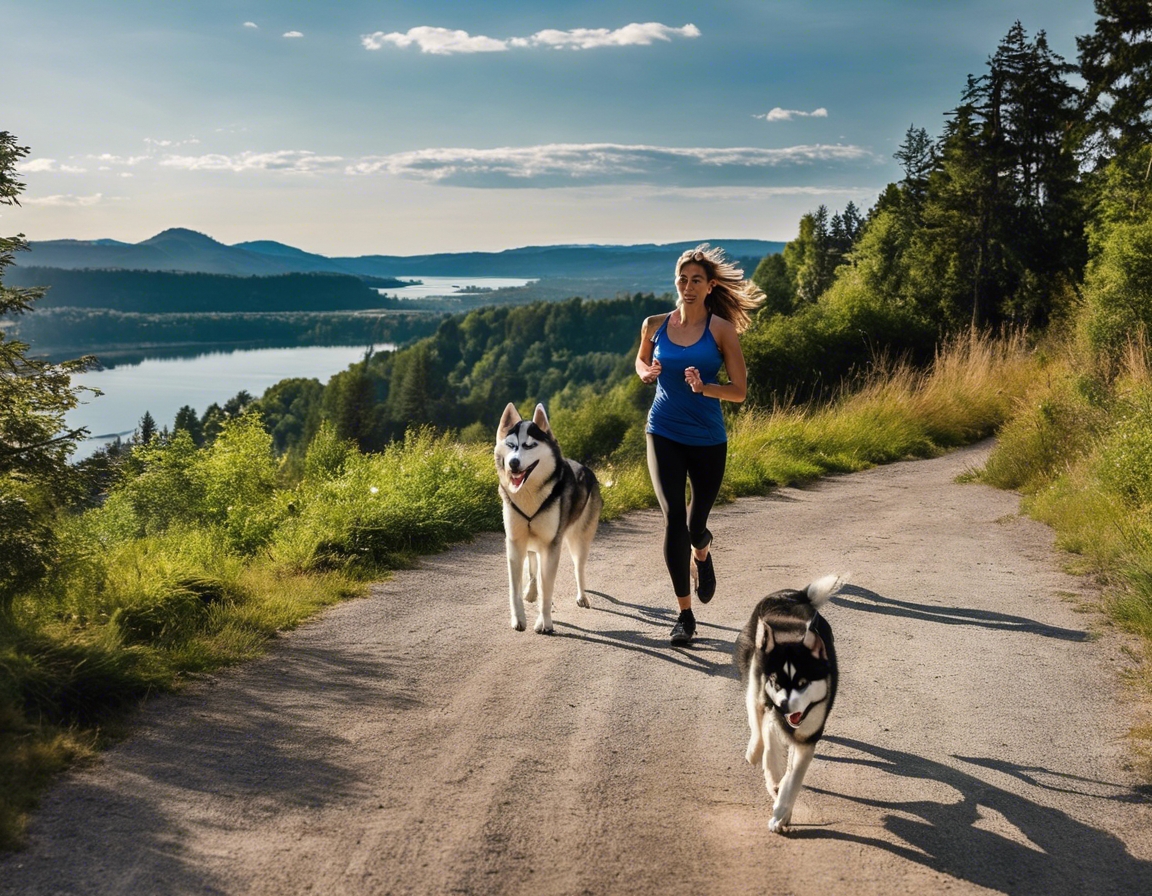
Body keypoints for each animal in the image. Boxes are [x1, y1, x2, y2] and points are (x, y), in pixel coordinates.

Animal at [495, 400, 603, 631]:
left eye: (529, 446)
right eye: (511, 445)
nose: (513, 463)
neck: (529, 495)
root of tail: (585, 468)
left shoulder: (552, 544)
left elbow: (548, 587)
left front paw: (544, 621)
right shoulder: (515, 542)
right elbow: (515, 588)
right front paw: (519, 618)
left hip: (579, 539)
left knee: (578, 568)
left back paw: (582, 596)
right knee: (533, 565)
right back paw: (531, 591)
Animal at [737, 573, 847, 829]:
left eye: (803, 683)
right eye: (776, 683)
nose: (784, 706)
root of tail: (794, 594)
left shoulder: (806, 738)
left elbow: (794, 778)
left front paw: (781, 812)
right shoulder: (766, 703)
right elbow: (765, 741)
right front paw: (767, 771)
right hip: (754, 674)